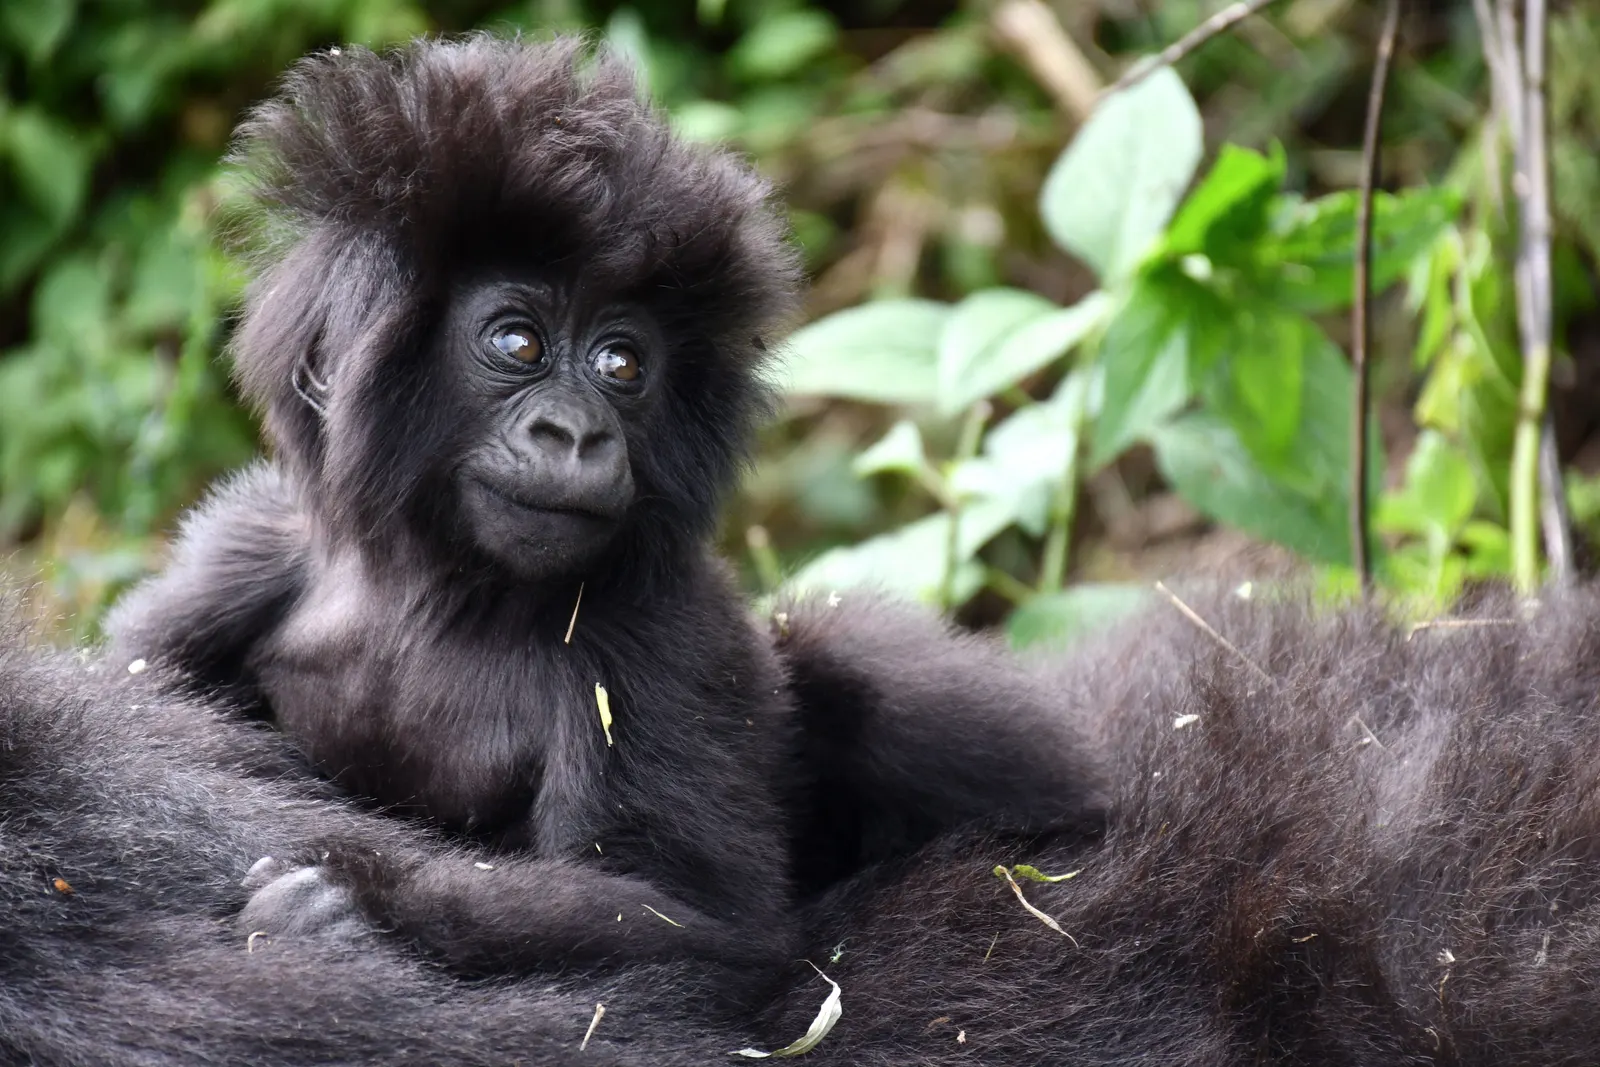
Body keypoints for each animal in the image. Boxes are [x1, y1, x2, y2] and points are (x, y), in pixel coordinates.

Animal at [104, 35, 1107, 1000]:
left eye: (622, 363)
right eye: (517, 343)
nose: (576, 432)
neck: (432, 585)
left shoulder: (658, 630)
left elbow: (687, 912)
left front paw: (358, 905)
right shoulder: (244, 550)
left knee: (848, 650)